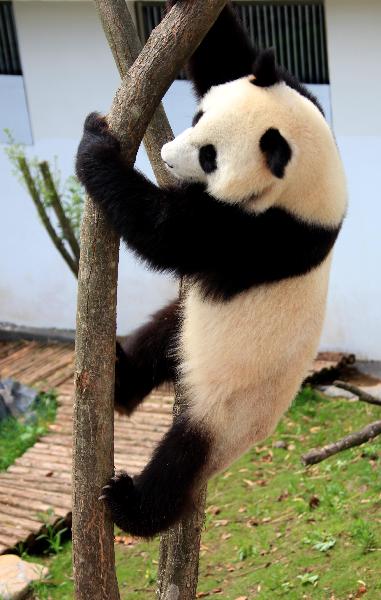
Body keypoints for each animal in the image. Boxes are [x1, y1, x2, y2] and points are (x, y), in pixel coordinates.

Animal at [75, 1, 346, 540]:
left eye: (209, 156)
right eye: (198, 116)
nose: (165, 156)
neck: (307, 176)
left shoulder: (257, 233)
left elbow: (164, 233)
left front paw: (96, 150)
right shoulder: (300, 99)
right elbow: (224, 55)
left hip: (228, 413)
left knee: (182, 457)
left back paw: (132, 506)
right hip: (187, 333)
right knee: (163, 338)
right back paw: (120, 376)